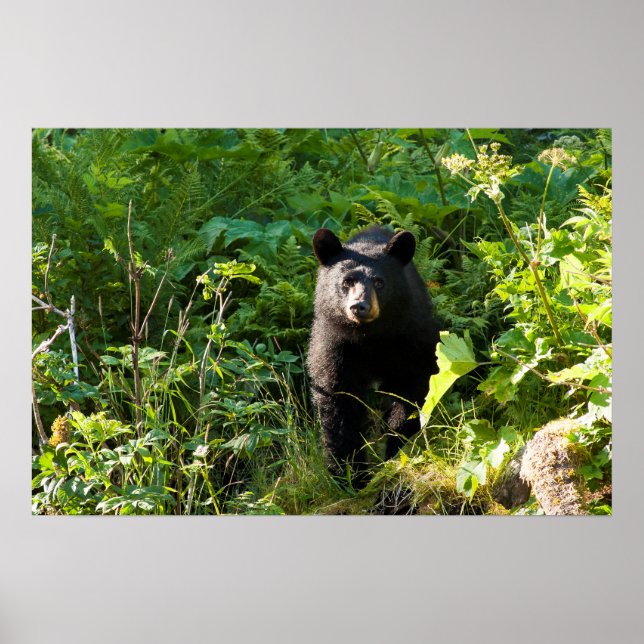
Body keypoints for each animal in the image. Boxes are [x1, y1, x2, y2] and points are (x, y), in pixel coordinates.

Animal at [307, 226, 440, 482]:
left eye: (379, 282)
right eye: (347, 281)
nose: (359, 306)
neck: (370, 337)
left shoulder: (411, 338)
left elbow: (411, 391)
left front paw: (395, 450)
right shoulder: (335, 345)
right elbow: (338, 400)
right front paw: (350, 474)